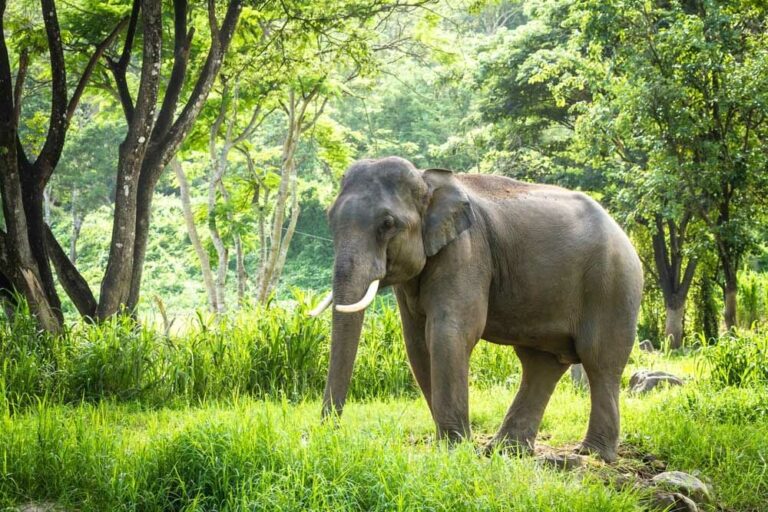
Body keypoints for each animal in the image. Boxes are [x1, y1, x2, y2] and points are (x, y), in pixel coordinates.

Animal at [310, 156, 643, 462]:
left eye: (387, 224)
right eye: (329, 218)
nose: (330, 434)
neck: (427, 180)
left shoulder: (467, 250)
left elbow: (449, 333)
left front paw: (454, 448)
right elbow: (417, 343)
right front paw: (455, 445)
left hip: (613, 285)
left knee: (599, 360)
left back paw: (592, 455)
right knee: (541, 364)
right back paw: (506, 450)